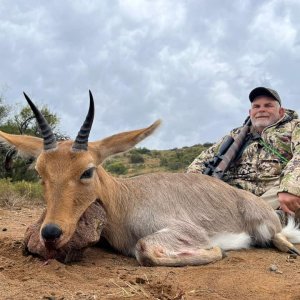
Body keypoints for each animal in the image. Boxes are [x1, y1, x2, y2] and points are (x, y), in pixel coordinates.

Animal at [0, 90, 300, 266]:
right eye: (40, 172)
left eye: (87, 170)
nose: (51, 232)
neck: (126, 200)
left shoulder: (189, 232)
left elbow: (143, 249)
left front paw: (218, 250)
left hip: (265, 225)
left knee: (279, 236)